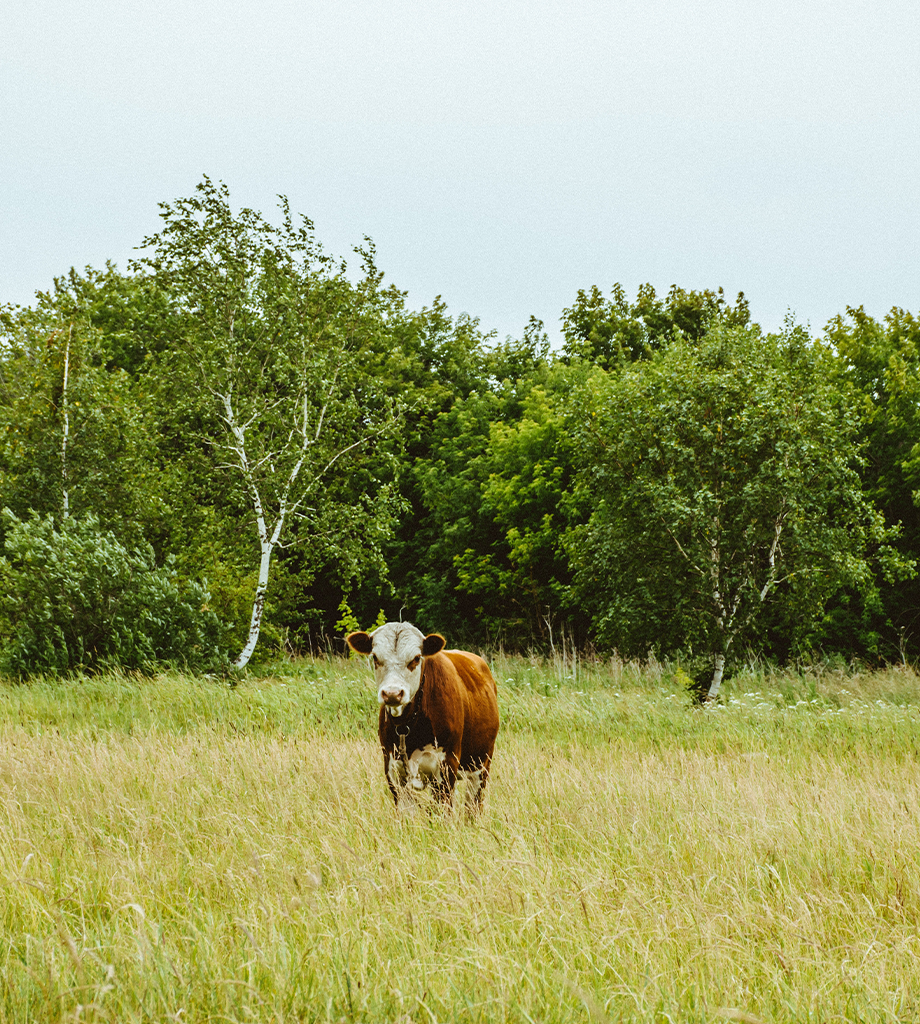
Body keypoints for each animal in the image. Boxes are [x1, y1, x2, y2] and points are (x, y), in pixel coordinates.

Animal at [344, 618, 497, 811]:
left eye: (416, 658)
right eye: (375, 657)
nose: (393, 693)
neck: (407, 725)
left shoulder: (446, 768)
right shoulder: (393, 771)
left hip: (481, 765)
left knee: (473, 807)